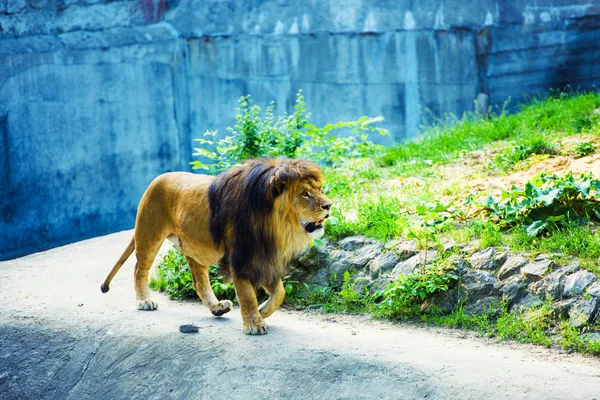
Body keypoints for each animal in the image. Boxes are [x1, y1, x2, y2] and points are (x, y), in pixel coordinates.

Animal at [100, 159, 330, 334]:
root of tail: (157, 178)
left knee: (199, 283)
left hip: (194, 250)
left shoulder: (264, 256)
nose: (329, 206)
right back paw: (144, 301)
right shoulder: (241, 258)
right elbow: (247, 294)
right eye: (304, 194)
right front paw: (254, 324)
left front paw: (263, 310)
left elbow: (280, 292)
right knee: (139, 270)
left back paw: (217, 308)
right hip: (149, 235)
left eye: (319, 189)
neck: (276, 225)